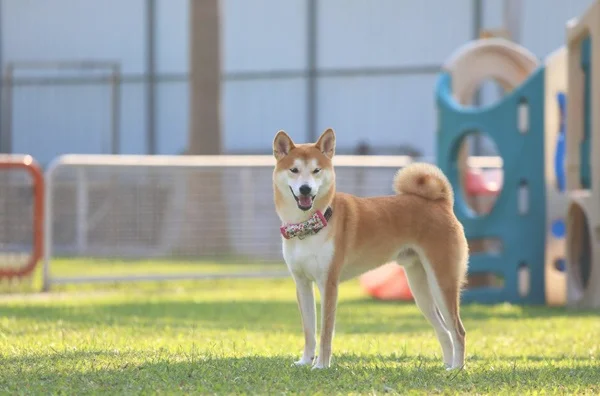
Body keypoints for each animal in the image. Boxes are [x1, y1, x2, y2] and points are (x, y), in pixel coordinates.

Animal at [272, 128, 468, 370]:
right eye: (294, 170)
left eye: (316, 170)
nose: (305, 189)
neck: (307, 226)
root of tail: (441, 203)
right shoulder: (302, 283)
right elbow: (309, 330)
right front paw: (305, 361)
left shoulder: (328, 283)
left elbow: (325, 332)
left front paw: (321, 365)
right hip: (421, 289)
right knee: (443, 330)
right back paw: (448, 365)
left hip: (442, 281)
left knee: (458, 330)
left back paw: (457, 368)